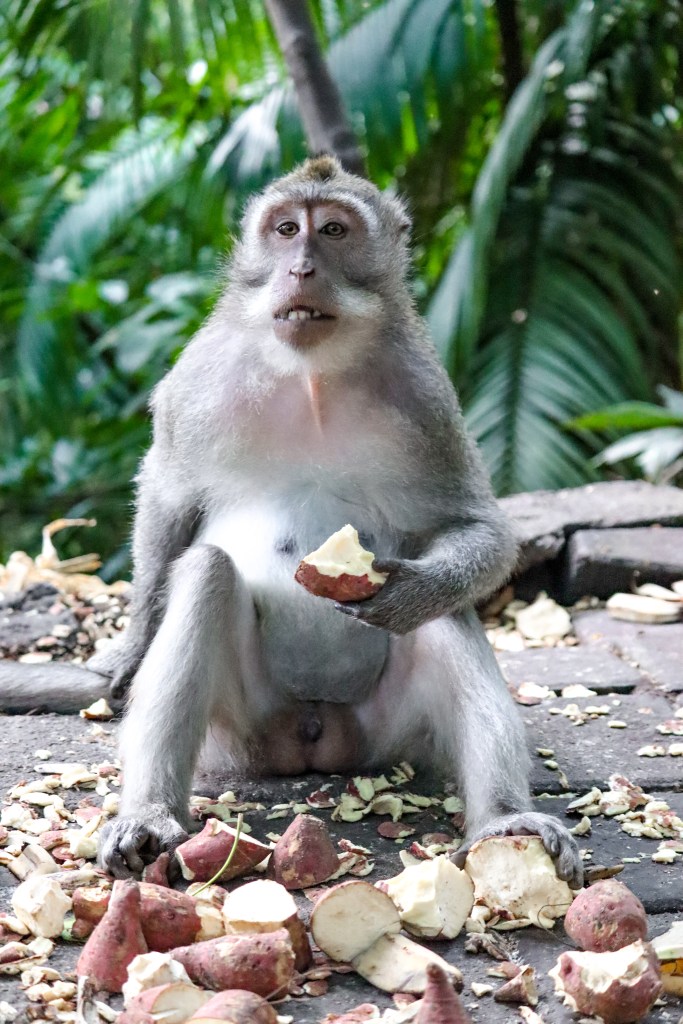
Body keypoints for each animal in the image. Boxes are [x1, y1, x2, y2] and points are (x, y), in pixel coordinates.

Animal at [0, 156, 581, 886]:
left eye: (332, 230)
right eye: (284, 230)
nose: (300, 267)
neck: (312, 377)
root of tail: (311, 738)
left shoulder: (427, 398)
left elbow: (477, 528)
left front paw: (414, 589)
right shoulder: (197, 382)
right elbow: (167, 496)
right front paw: (129, 650)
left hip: (386, 731)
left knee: (446, 615)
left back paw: (503, 818)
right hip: (240, 731)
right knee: (206, 573)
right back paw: (150, 816)